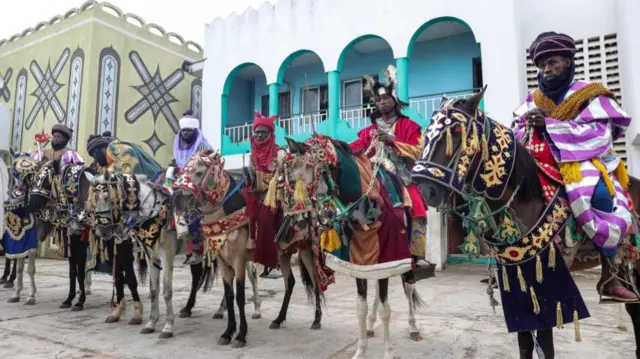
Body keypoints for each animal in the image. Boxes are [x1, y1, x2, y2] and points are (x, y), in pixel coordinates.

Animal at [172, 151, 262, 348]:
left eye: (199, 172)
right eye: (183, 169)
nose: (177, 197)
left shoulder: (238, 259)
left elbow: (240, 296)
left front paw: (241, 336)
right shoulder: (222, 260)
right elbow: (229, 295)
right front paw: (228, 333)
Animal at [284, 136, 424, 359]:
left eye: (299, 174)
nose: (293, 223)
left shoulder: (389, 256)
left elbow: (386, 309)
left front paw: (388, 352)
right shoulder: (360, 262)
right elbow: (361, 308)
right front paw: (360, 350)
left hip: (410, 256)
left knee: (409, 288)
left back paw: (413, 327)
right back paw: (371, 325)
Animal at [410, 88, 640, 359]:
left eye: (456, 132)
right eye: (426, 133)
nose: (426, 190)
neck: (525, 197)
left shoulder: (549, 274)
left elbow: (545, 342)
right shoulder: (513, 276)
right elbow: (524, 340)